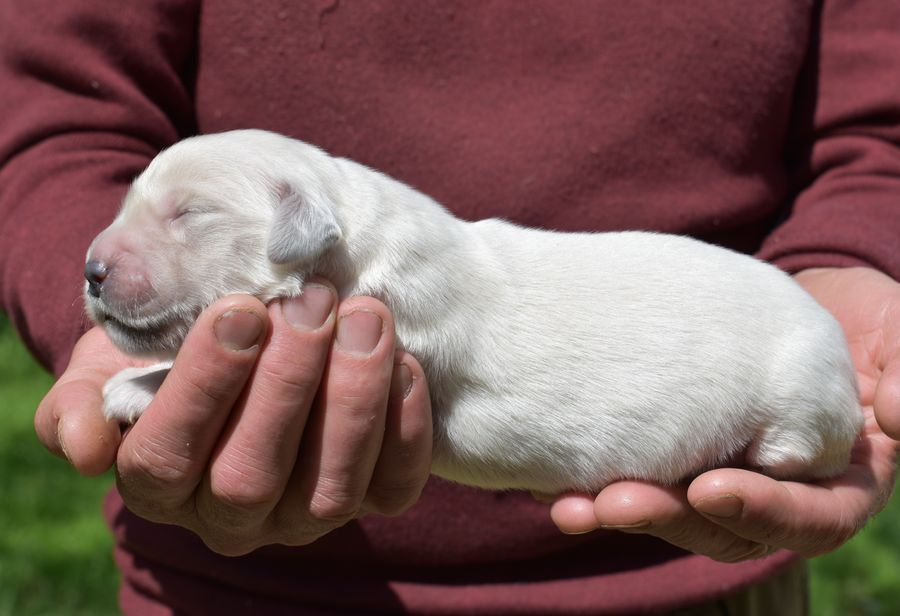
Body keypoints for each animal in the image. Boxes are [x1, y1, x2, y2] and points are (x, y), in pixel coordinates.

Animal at [86, 131, 864, 496]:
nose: (92, 271)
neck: (355, 238)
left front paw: (136, 386)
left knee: (799, 449)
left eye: (190, 213)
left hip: (801, 401)